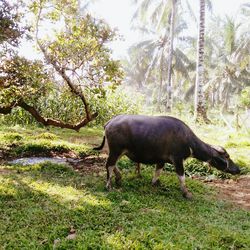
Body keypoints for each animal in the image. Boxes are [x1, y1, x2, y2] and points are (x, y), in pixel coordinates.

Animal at [94, 114, 240, 198]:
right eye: (227, 156)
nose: (238, 169)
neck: (188, 140)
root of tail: (109, 123)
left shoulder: (161, 160)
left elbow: (157, 172)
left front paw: (155, 183)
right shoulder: (178, 160)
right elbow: (182, 177)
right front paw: (186, 193)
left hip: (119, 151)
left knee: (112, 164)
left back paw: (119, 178)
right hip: (116, 149)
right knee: (109, 164)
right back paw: (108, 186)